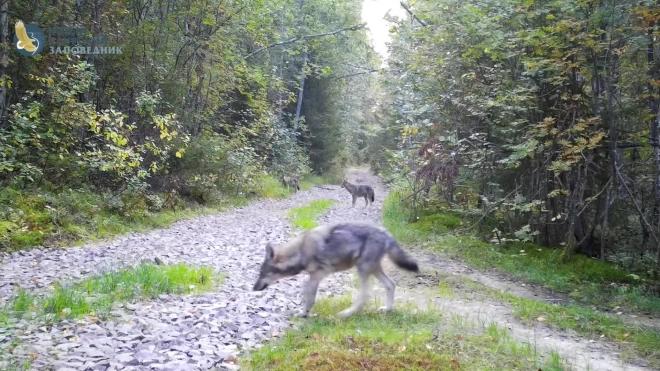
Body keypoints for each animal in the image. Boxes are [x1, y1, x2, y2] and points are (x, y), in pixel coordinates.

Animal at [251, 222, 418, 318]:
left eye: (262, 274)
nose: (253, 288)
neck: (300, 251)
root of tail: (387, 234)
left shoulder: (316, 277)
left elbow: (309, 297)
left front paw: (304, 314)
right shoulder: (313, 277)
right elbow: (306, 293)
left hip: (363, 270)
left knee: (366, 295)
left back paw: (346, 314)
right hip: (374, 270)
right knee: (391, 284)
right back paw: (387, 309)